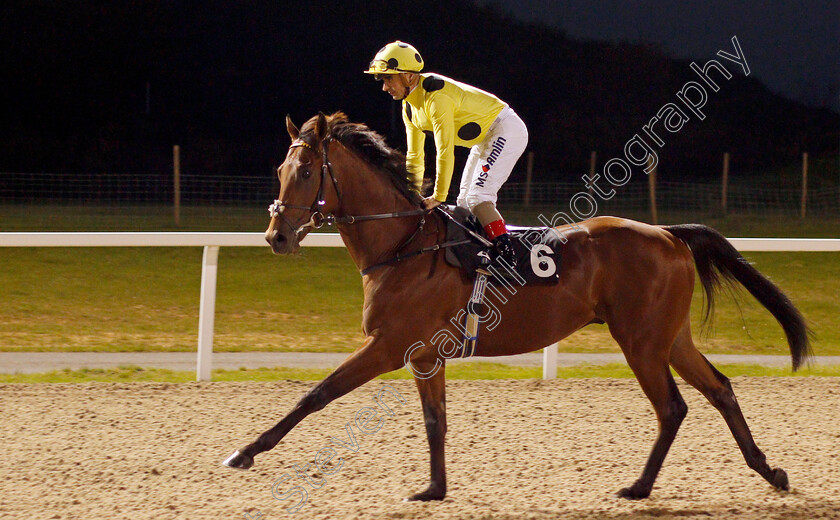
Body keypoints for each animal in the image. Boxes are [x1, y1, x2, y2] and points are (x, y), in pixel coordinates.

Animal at [221, 111, 808, 502]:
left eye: (305, 172)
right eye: (279, 169)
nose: (276, 236)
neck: (402, 244)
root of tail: (669, 233)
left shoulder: (388, 346)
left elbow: (316, 395)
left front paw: (244, 452)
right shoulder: (423, 355)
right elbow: (435, 420)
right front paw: (433, 488)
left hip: (641, 340)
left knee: (673, 407)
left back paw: (639, 487)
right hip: (670, 336)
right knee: (719, 389)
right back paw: (769, 471)